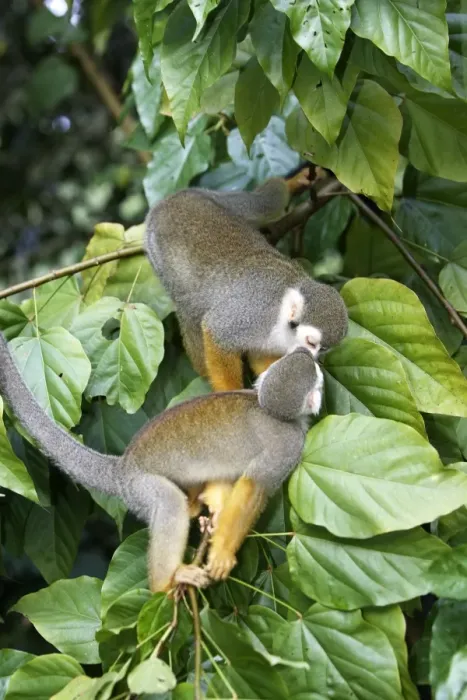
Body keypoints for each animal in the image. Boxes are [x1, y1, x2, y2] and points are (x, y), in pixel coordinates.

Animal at [0, 333, 323, 593]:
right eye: (318, 380)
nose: (309, 353)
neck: (268, 409)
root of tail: (122, 467)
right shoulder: (288, 446)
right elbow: (254, 486)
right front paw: (222, 553)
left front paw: (216, 511)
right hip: (139, 487)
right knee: (168, 503)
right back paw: (166, 582)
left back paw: (195, 506)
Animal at [144, 169, 348, 392]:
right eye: (311, 343)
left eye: (324, 348)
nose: (314, 356)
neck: (282, 317)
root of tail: (171, 198)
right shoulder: (256, 313)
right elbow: (216, 331)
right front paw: (230, 390)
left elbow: (260, 356)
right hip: (159, 255)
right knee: (190, 310)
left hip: (226, 203)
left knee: (265, 203)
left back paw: (293, 183)